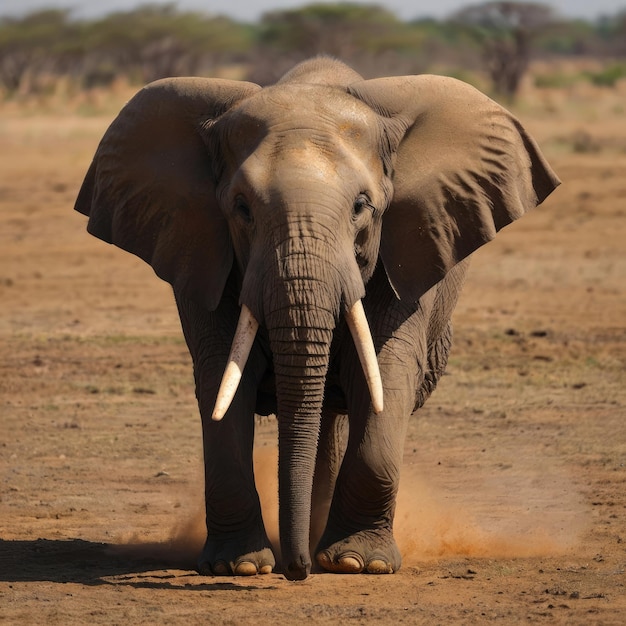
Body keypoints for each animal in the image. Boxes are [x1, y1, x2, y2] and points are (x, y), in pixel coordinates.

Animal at [75, 56, 560, 576]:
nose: (298, 571)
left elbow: (385, 373)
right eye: (241, 208)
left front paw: (356, 564)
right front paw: (239, 566)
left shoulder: (411, 249)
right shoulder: (201, 253)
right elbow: (223, 379)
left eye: (362, 207)